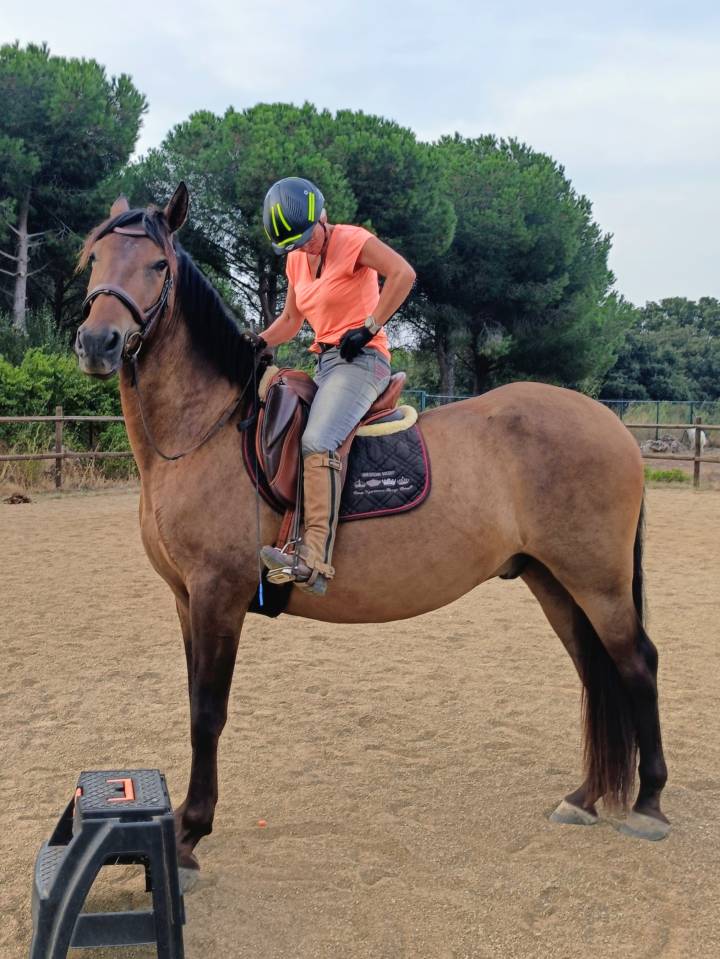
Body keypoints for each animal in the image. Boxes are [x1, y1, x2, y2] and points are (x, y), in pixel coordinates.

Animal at [75, 184, 669, 887]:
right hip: (552, 578)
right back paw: (585, 797)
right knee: (593, 669)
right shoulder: (185, 598)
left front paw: (191, 835)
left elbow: (207, 713)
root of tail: (610, 422)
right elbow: (196, 701)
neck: (206, 432)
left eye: (157, 266)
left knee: (636, 663)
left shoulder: (218, 594)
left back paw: (650, 803)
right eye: (94, 257)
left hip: (597, 579)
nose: (97, 342)